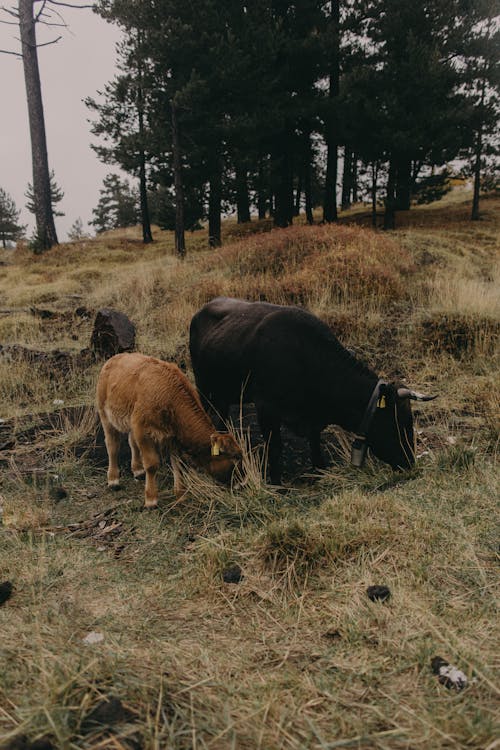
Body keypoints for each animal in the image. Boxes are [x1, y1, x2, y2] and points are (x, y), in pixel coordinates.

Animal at [95, 354, 242, 512]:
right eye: (234, 458)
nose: (243, 484)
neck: (169, 397)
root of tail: (116, 357)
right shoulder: (143, 432)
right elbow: (152, 464)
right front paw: (151, 500)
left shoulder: (172, 437)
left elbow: (178, 465)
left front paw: (181, 495)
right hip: (105, 415)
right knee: (112, 445)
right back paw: (113, 479)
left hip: (130, 421)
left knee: (132, 442)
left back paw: (138, 470)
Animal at [189, 296, 436, 484]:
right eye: (397, 422)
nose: (409, 462)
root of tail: (203, 309)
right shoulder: (267, 408)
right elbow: (275, 448)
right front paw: (277, 484)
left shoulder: (313, 419)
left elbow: (315, 441)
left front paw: (320, 470)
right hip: (204, 389)